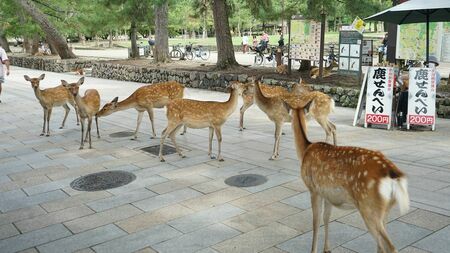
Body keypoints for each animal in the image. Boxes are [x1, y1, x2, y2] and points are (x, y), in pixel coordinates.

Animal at [286, 96, 410, 253]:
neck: (304, 151)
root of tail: (394, 174)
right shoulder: (327, 193)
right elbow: (326, 217)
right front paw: (327, 248)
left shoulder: (313, 189)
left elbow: (315, 221)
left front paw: (313, 250)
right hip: (386, 208)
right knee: (382, 244)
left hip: (369, 207)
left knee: (389, 247)